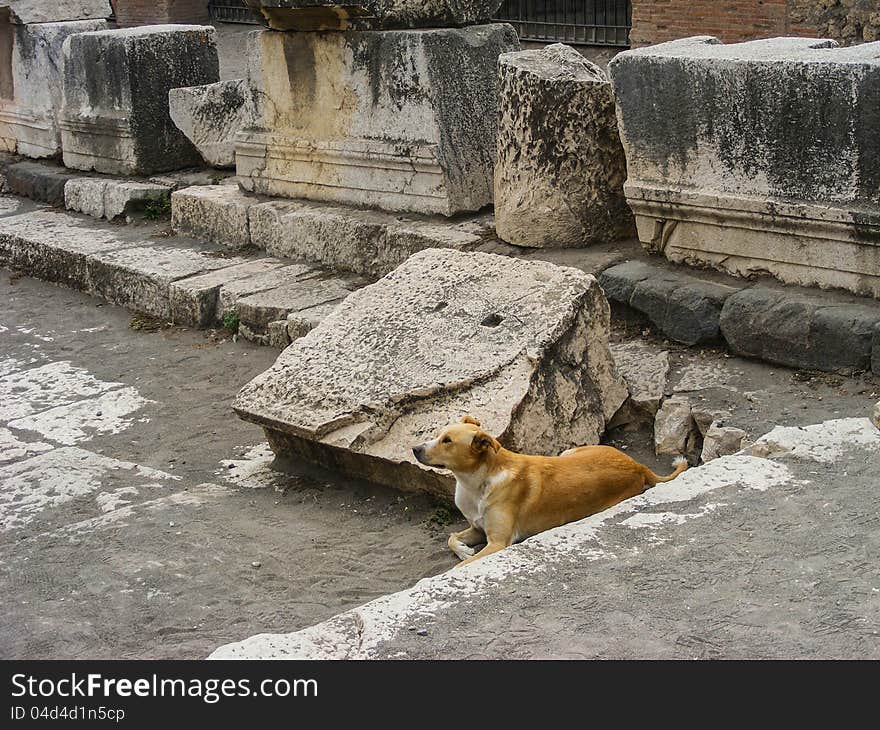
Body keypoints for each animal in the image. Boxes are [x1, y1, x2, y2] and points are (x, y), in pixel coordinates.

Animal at [412, 416, 688, 564]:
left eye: (447, 441)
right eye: (438, 435)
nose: (414, 449)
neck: (477, 481)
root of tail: (638, 465)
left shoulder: (498, 542)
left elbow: (461, 565)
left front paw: (464, 557)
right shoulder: (477, 528)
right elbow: (451, 538)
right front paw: (463, 550)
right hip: (568, 452)